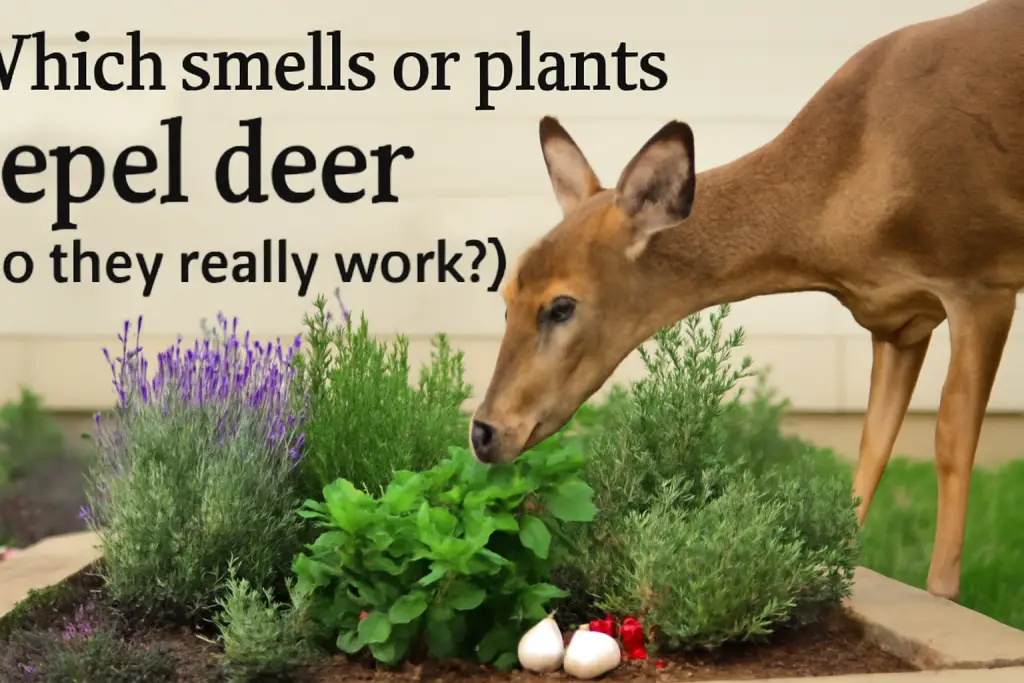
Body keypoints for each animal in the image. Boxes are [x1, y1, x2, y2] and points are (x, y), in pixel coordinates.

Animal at [468, 0, 1024, 602]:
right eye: (506, 298)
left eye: (562, 305)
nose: (484, 433)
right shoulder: (898, 320)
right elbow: (873, 442)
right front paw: (830, 572)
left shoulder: (979, 278)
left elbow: (950, 439)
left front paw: (942, 591)